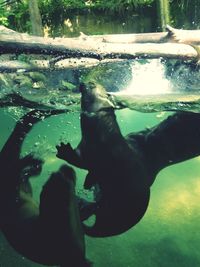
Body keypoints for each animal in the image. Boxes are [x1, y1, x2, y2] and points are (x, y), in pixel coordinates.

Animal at [55, 80, 200, 238]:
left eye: (92, 84)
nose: (82, 83)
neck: (102, 131)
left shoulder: (100, 154)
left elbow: (86, 164)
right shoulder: (84, 147)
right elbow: (80, 160)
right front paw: (65, 151)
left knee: (97, 208)